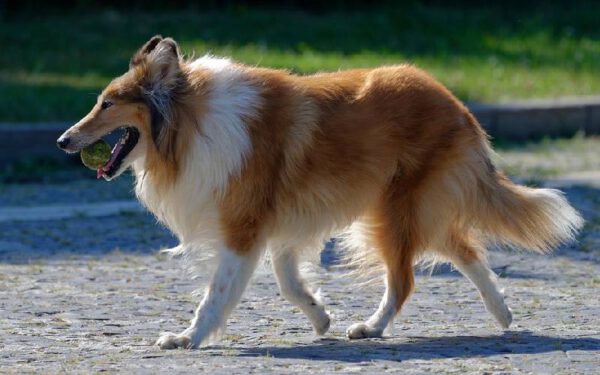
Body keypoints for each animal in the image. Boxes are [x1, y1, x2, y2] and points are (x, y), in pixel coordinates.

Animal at [56, 36, 580, 350]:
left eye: (107, 103)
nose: (62, 141)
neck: (191, 122)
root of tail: (455, 103)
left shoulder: (242, 230)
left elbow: (215, 294)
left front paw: (188, 338)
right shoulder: (283, 226)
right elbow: (289, 282)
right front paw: (320, 317)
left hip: (393, 212)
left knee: (406, 279)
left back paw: (373, 327)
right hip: (402, 208)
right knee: (465, 249)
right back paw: (503, 312)